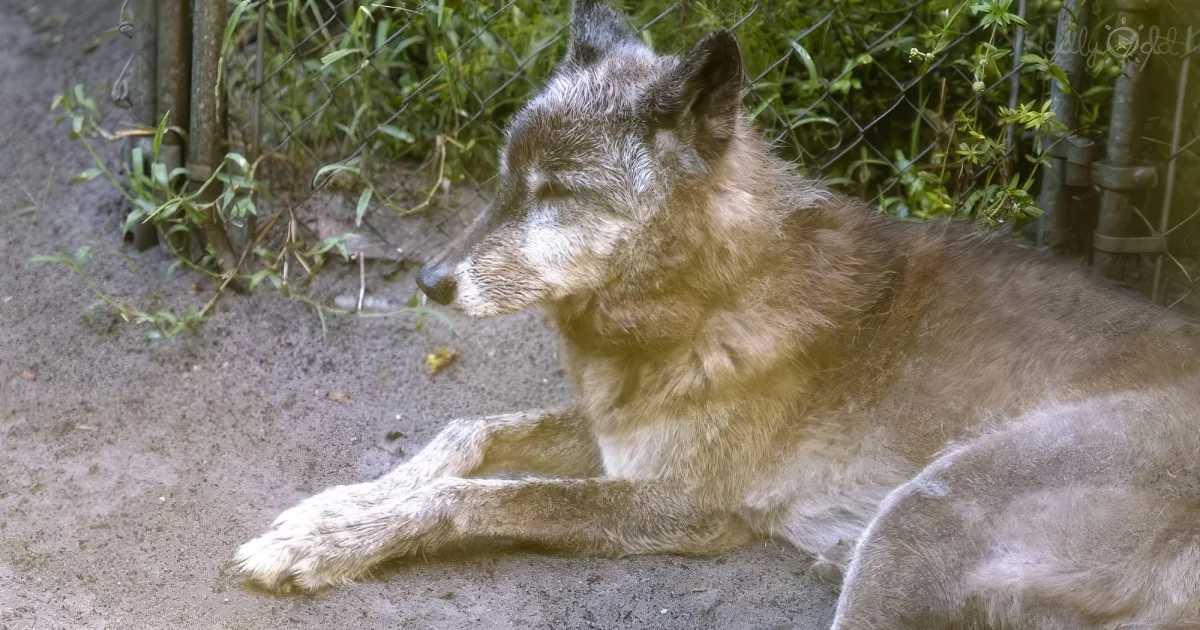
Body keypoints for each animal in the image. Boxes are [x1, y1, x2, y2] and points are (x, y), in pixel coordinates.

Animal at [233, 1, 1200, 627]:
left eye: (556, 195)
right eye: (506, 182)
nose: (431, 280)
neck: (710, 295)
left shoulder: (680, 502)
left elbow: (477, 494)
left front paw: (336, 540)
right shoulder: (616, 434)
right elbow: (467, 432)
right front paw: (339, 508)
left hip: (917, 518)